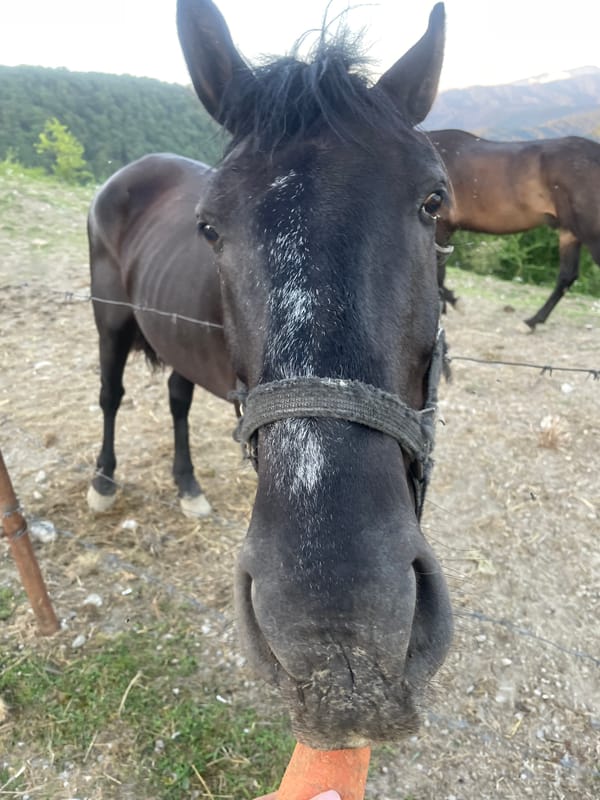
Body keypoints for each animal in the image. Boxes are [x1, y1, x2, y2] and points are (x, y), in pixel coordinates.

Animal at [91, 0, 452, 749]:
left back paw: (189, 487)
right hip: (109, 322)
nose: (338, 637)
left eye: (434, 200)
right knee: (111, 395)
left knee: (175, 400)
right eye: (208, 226)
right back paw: (104, 483)